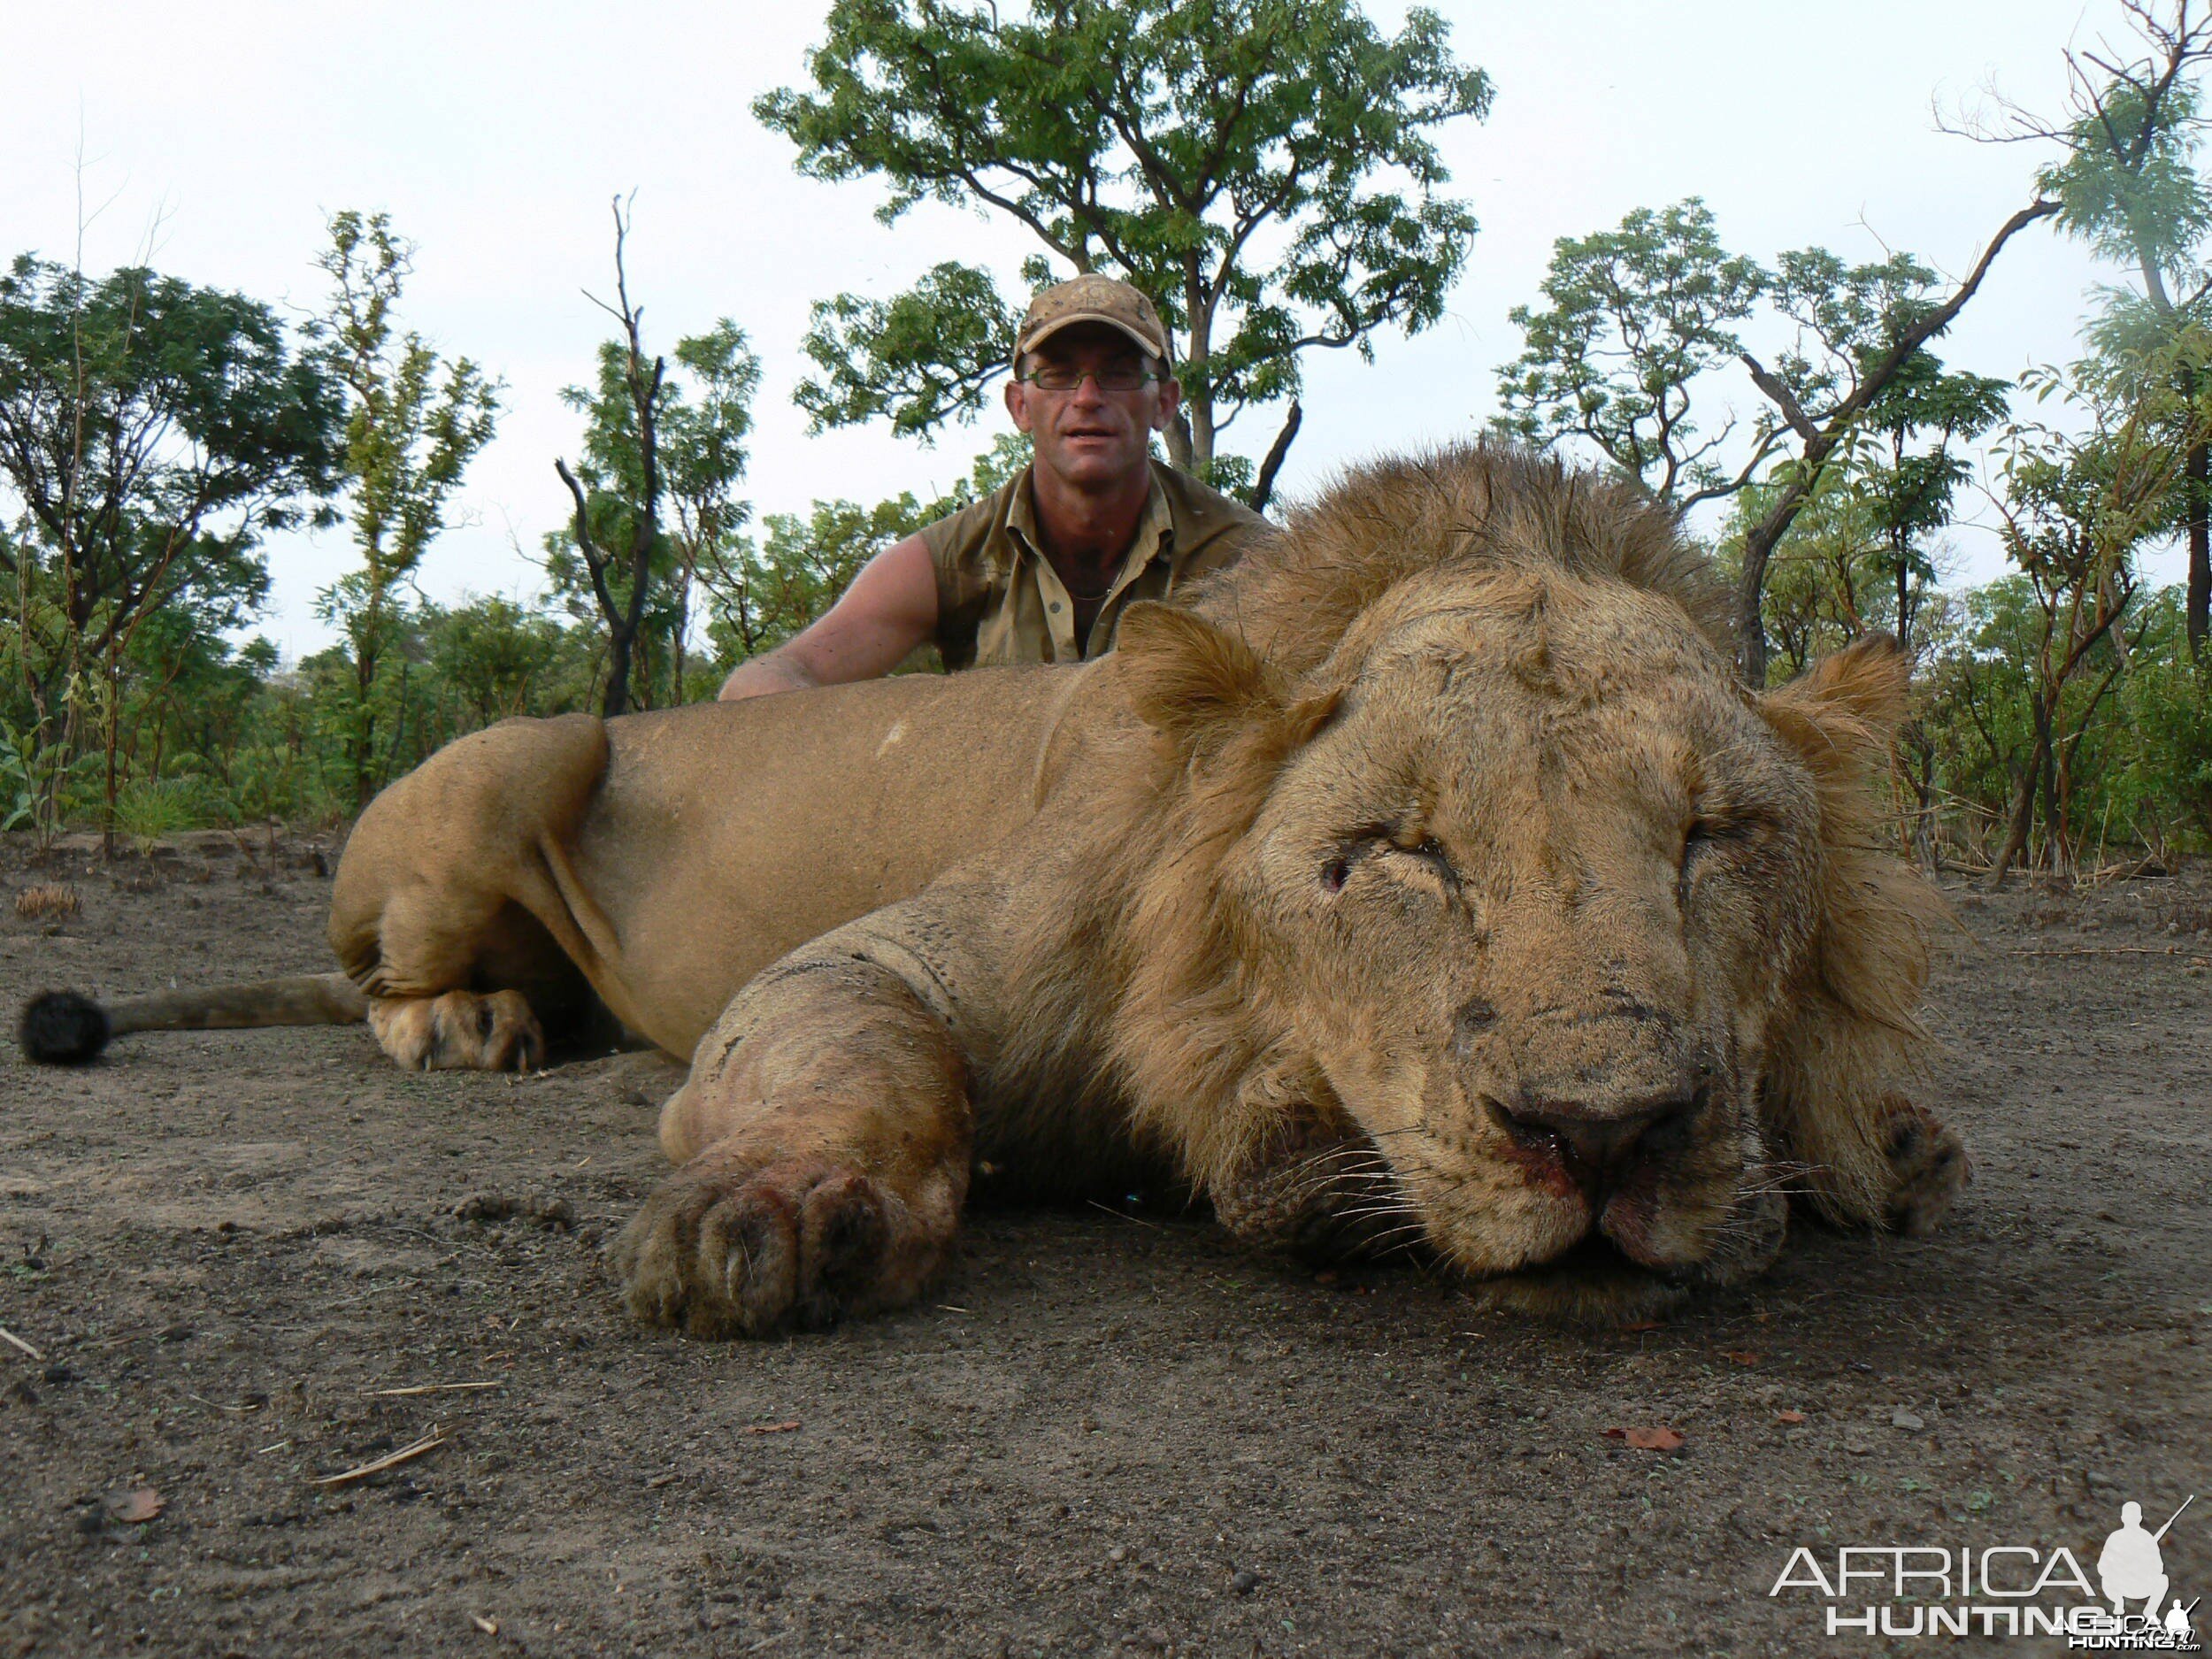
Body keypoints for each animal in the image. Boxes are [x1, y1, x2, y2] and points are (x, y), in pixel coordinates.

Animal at [17, 449, 1964, 1336]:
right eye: (1394, 854)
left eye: (1718, 837)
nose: (1605, 1131)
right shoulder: (899, 956)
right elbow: (860, 1060)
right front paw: (770, 1209)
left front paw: (1887, 1142)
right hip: (534, 741)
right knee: (376, 979)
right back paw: (479, 1023)